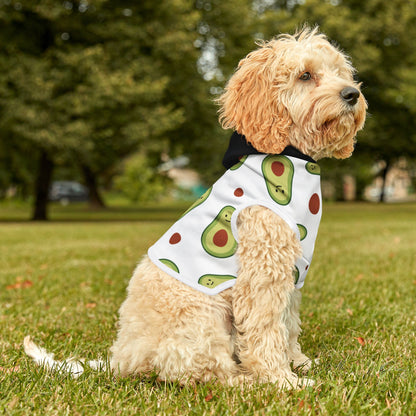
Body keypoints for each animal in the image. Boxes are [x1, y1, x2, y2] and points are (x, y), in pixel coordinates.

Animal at [24, 27, 366, 388]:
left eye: (340, 72)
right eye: (305, 75)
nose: (352, 94)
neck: (289, 156)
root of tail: (122, 359)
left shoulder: (292, 270)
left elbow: (288, 323)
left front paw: (299, 363)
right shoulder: (263, 271)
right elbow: (266, 328)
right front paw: (281, 380)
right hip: (202, 315)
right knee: (201, 371)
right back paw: (244, 380)